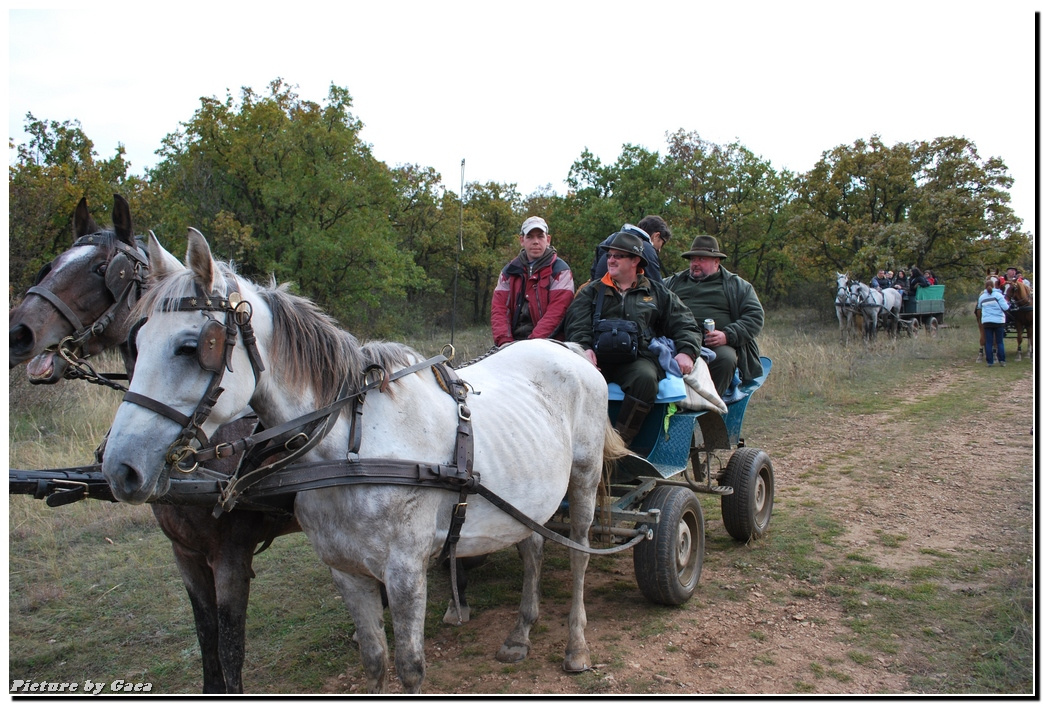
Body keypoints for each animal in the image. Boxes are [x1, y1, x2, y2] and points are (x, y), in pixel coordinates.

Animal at [10, 195, 298, 692]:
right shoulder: (185, 554)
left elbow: (230, 651)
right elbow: (206, 644)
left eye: (101, 270)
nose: (18, 332)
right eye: (51, 264)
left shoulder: (230, 556)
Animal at [103, 231, 625, 692]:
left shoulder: (406, 572)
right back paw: (520, 634)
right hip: (526, 499)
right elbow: (374, 661)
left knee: (578, 553)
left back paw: (576, 647)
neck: (350, 449)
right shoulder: (347, 572)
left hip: (581, 481)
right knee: (532, 547)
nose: (119, 469)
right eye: (135, 344)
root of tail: (567, 350)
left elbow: (410, 667)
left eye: (192, 347)